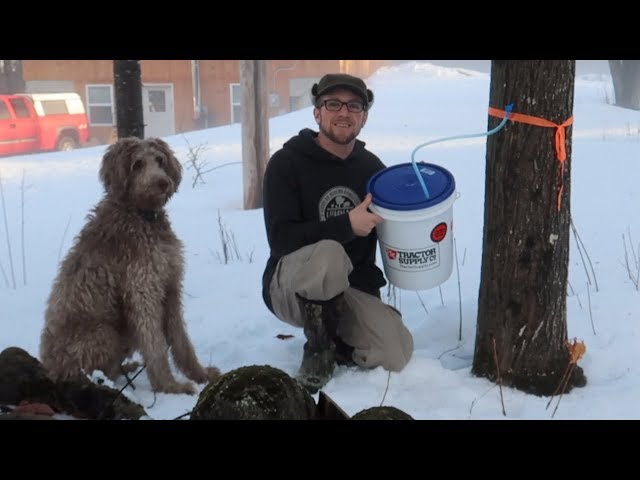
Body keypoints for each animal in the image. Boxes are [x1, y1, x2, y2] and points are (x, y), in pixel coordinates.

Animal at [40, 135, 220, 394]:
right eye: (137, 164)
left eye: (160, 160)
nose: (163, 183)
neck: (140, 216)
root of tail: (49, 371)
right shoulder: (143, 291)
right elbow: (155, 345)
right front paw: (170, 387)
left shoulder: (170, 286)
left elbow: (181, 339)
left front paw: (201, 374)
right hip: (104, 333)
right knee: (92, 374)